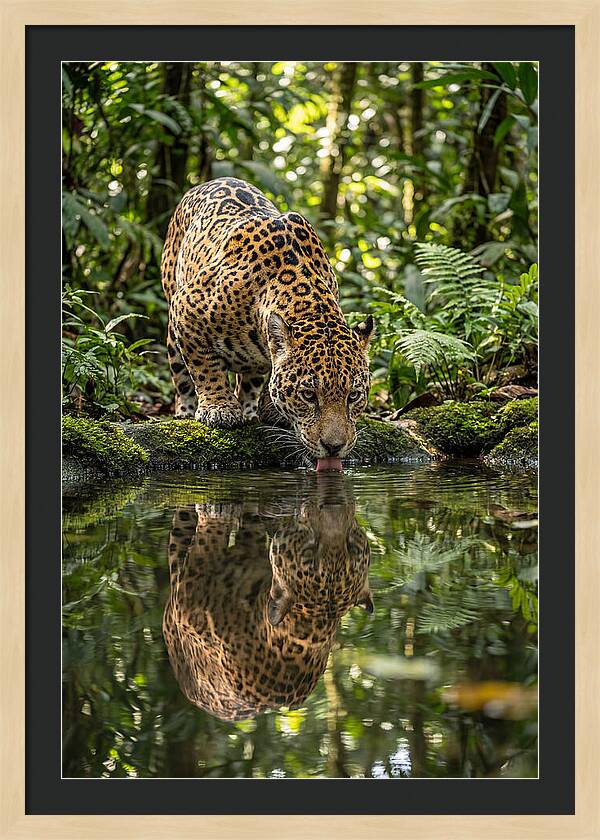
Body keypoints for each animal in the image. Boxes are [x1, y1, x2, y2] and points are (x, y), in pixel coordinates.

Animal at [161, 177, 374, 462]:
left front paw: (271, 410)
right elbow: (205, 367)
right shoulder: (186, 307)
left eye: (354, 396)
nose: (334, 447)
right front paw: (219, 408)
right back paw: (185, 412)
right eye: (309, 395)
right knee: (182, 377)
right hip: (172, 321)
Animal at [162, 480, 372, 721]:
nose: (333, 504)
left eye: (351, 547)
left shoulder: (189, 598)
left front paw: (217, 511)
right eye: (310, 551)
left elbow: (210, 538)